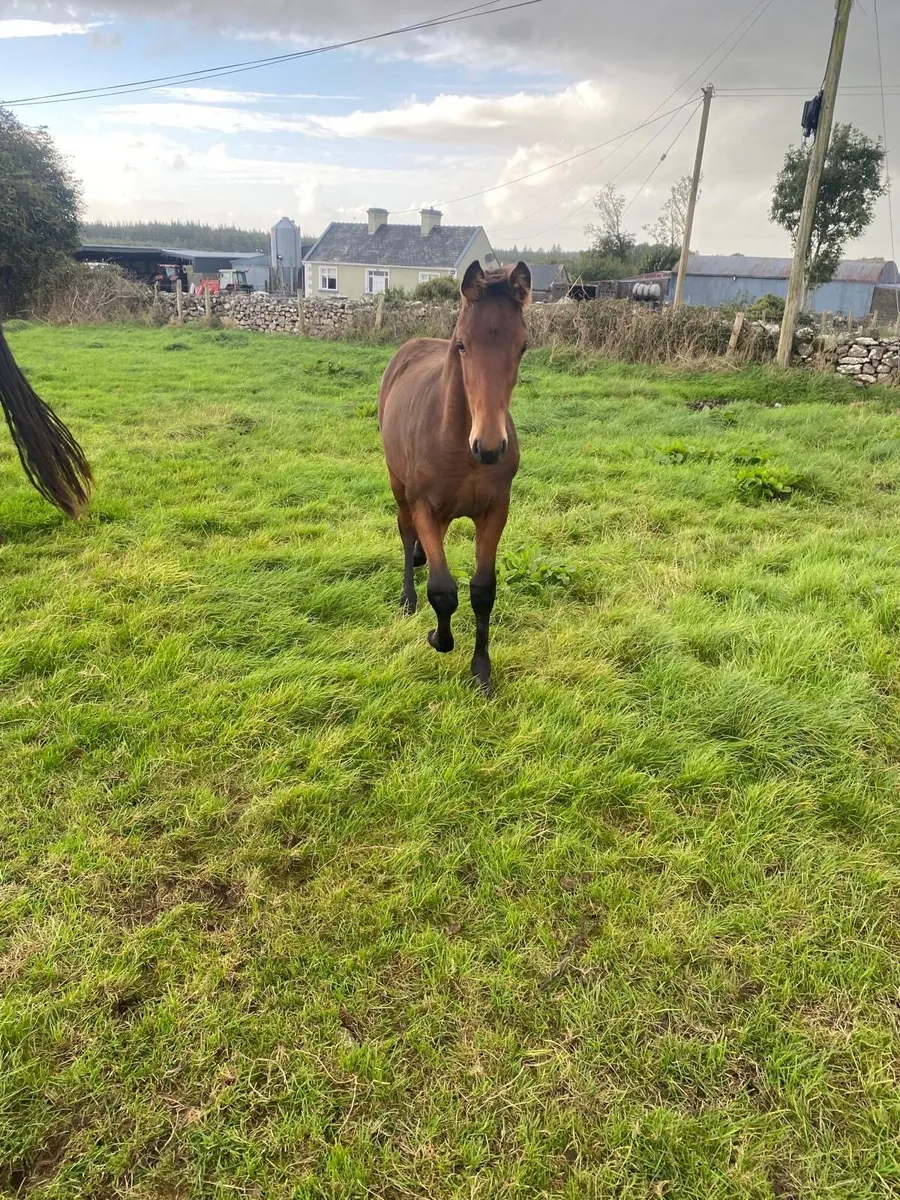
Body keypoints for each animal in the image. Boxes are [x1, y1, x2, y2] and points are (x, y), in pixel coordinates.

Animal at [378, 259, 531, 693]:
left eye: (523, 346)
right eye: (462, 344)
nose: (490, 447)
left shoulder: (495, 511)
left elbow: (482, 590)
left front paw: (481, 670)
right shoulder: (424, 507)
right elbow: (443, 589)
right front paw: (438, 638)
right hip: (398, 485)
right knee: (405, 531)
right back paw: (408, 599)